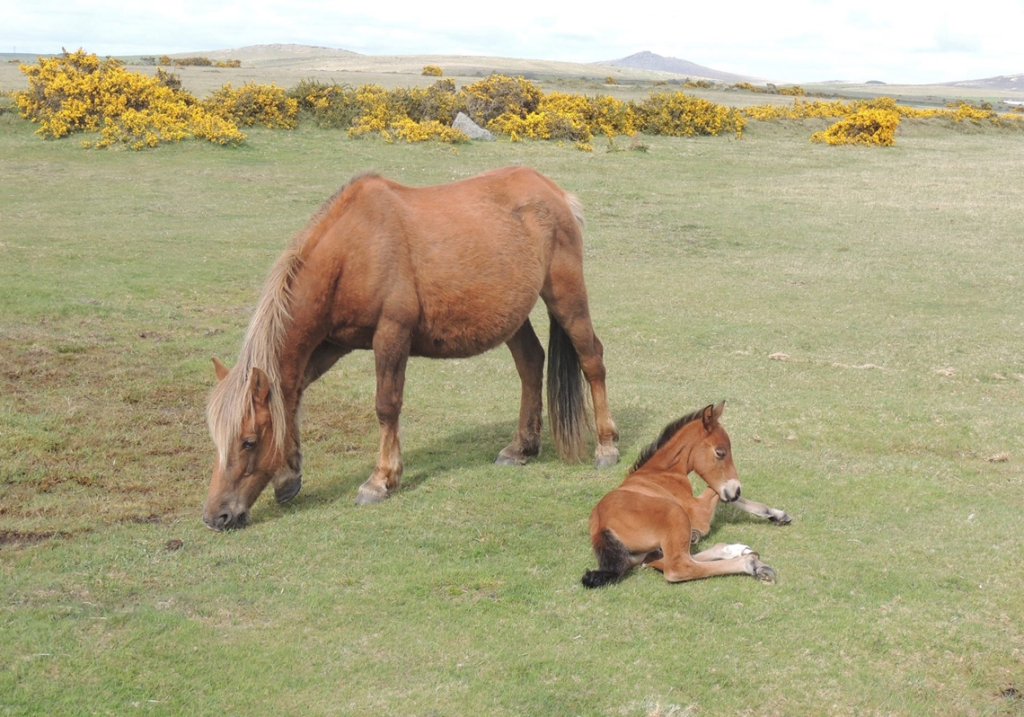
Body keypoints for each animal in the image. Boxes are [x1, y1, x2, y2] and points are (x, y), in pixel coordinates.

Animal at [199, 164, 614, 528]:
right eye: (217, 439)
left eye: (249, 441)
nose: (217, 516)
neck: (352, 251)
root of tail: (554, 192)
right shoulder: (330, 344)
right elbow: (293, 395)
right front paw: (289, 473)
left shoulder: (391, 335)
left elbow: (386, 406)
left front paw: (380, 480)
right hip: (513, 315)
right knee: (531, 364)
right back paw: (521, 447)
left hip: (566, 296)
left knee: (592, 359)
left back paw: (606, 446)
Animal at [581, 401, 786, 589]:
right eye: (720, 452)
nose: (736, 490)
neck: (661, 472)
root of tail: (601, 530)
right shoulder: (698, 513)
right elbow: (715, 490)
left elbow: (720, 494)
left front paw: (778, 515)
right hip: (675, 514)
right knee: (678, 567)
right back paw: (752, 564)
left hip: (651, 550)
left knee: (669, 560)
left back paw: (736, 549)